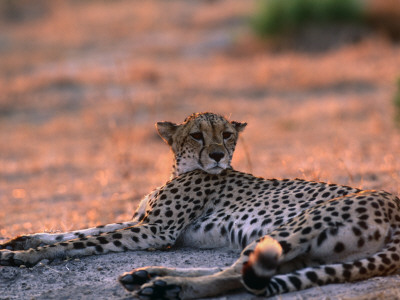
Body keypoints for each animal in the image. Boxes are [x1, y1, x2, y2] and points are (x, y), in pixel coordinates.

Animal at [0, 111, 400, 298]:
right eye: (196, 135)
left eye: (227, 134)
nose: (218, 155)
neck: (183, 168)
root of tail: (393, 200)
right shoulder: (140, 220)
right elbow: (84, 229)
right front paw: (21, 241)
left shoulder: (155, 231)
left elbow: (85, 241)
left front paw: (24, 257)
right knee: (247, 270)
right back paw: (148, 276)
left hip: (294, 227)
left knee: (241, 274)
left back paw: (167, 286)